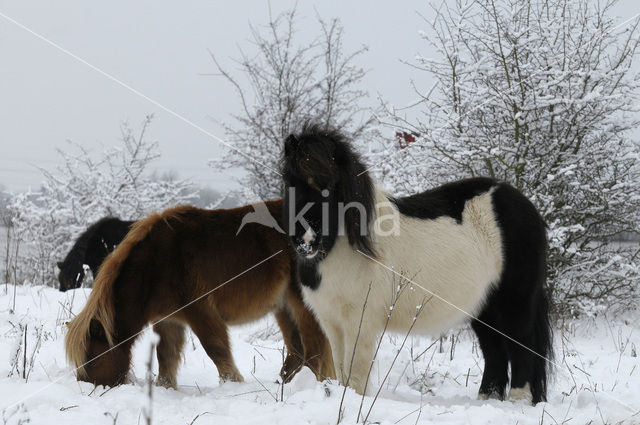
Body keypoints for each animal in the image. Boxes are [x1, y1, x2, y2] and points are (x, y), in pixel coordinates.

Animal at [65, 200, 336, 390]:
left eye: (92, 359)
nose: (87, 388)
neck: (156, 263)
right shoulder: (168, 320)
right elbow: (166, 357)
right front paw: (166, 388)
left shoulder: (200, 311)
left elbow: (216, 348)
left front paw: (232, 384)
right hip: (283, 307)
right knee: (297, 351)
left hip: (301, 304)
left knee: (315, 349)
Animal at [282, 124, 552, 402]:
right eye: (289, 181)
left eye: (332, 185)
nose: (306, 240)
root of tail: (525, 206)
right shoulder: (332, 321)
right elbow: (341, 368)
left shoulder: (360, 322)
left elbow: (356, 373)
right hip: (484, 307)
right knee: (495, 352)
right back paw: (487, 400)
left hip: (514, 302)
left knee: (522, 347)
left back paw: (517, 401)